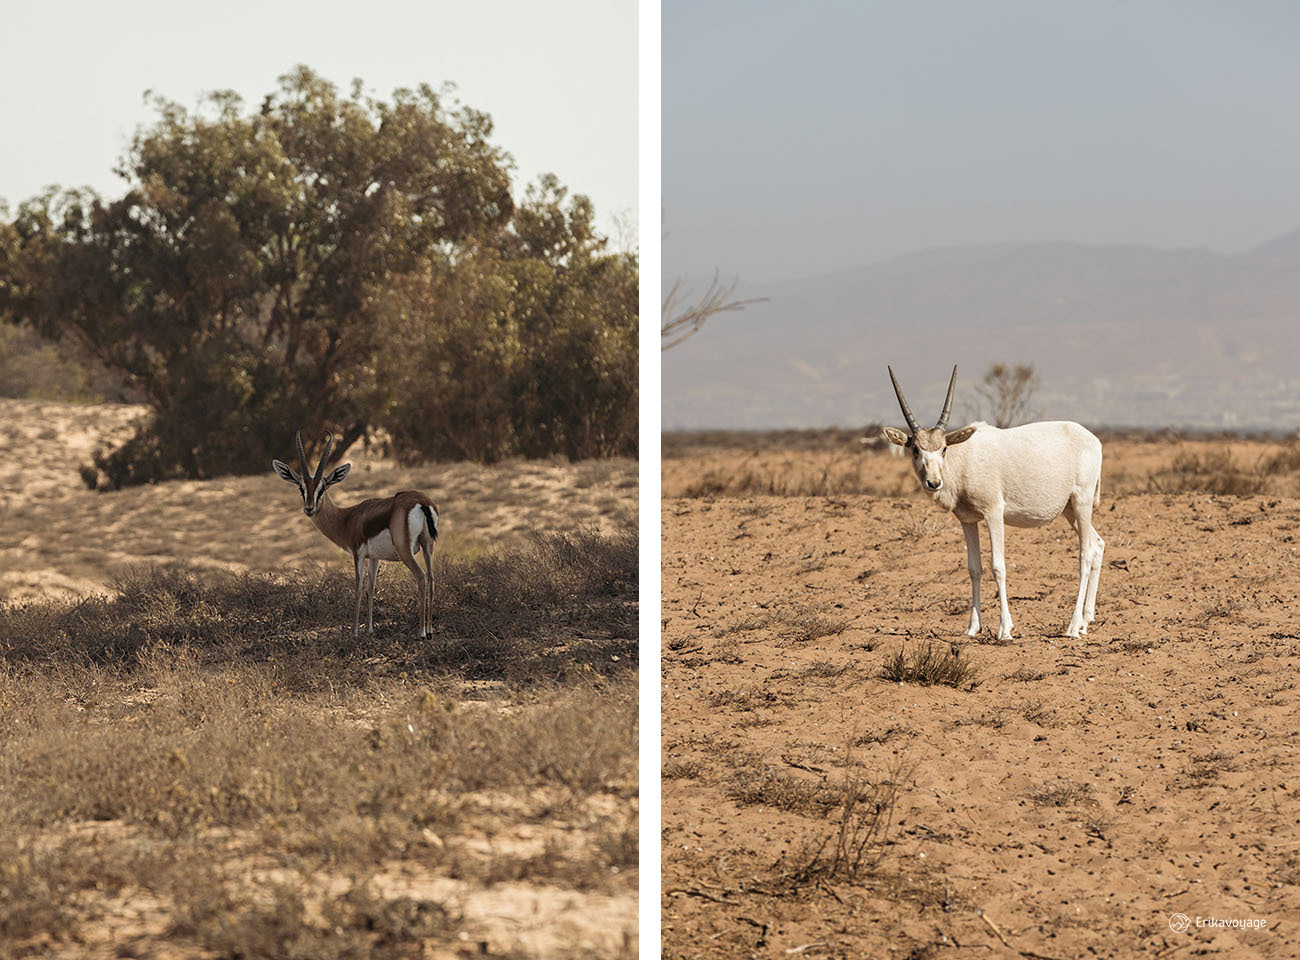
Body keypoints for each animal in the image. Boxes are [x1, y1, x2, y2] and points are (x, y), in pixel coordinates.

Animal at [271, 431, 439, 634]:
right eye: (301, 487)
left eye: (322, 488)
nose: (309, 509)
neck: (346, 518)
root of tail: (422, 501)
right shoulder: (375, 557)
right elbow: (371, 588)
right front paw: (370, 630)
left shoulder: (358, 554)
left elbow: (358, 588)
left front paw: (355, 632)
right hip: (428, 546)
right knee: (431, 578)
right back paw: (430, 630)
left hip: (405, 551)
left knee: (421, 577)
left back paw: (421, 632)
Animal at [878, 361, 1102, 640]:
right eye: (916, 449)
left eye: (943, 448)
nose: (934, 482)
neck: (963, 458)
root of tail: (1094, 441)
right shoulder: (967, 520)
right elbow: (974, 568)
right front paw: (972, 627)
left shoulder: (994, 512)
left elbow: (998, 566)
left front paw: (1005, 629)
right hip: (1069, 509)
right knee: (1097, 544)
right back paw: (1086, 620)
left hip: (1082, 502)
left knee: (1085, 553)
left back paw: (1072, 627)